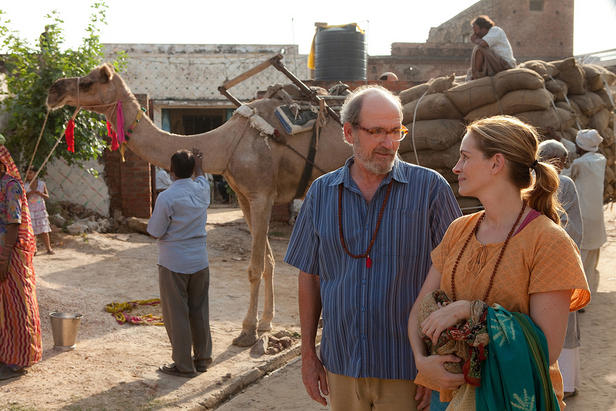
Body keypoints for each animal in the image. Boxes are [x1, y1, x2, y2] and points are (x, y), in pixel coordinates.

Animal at [47, 65, 352, 348]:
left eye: (87, 83)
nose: (54, 89)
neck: (227, 146)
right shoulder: (245, 196)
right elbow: (268, 261)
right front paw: (265, 322)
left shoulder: (262, 194)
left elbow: (254, 267)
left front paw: (247, 331)